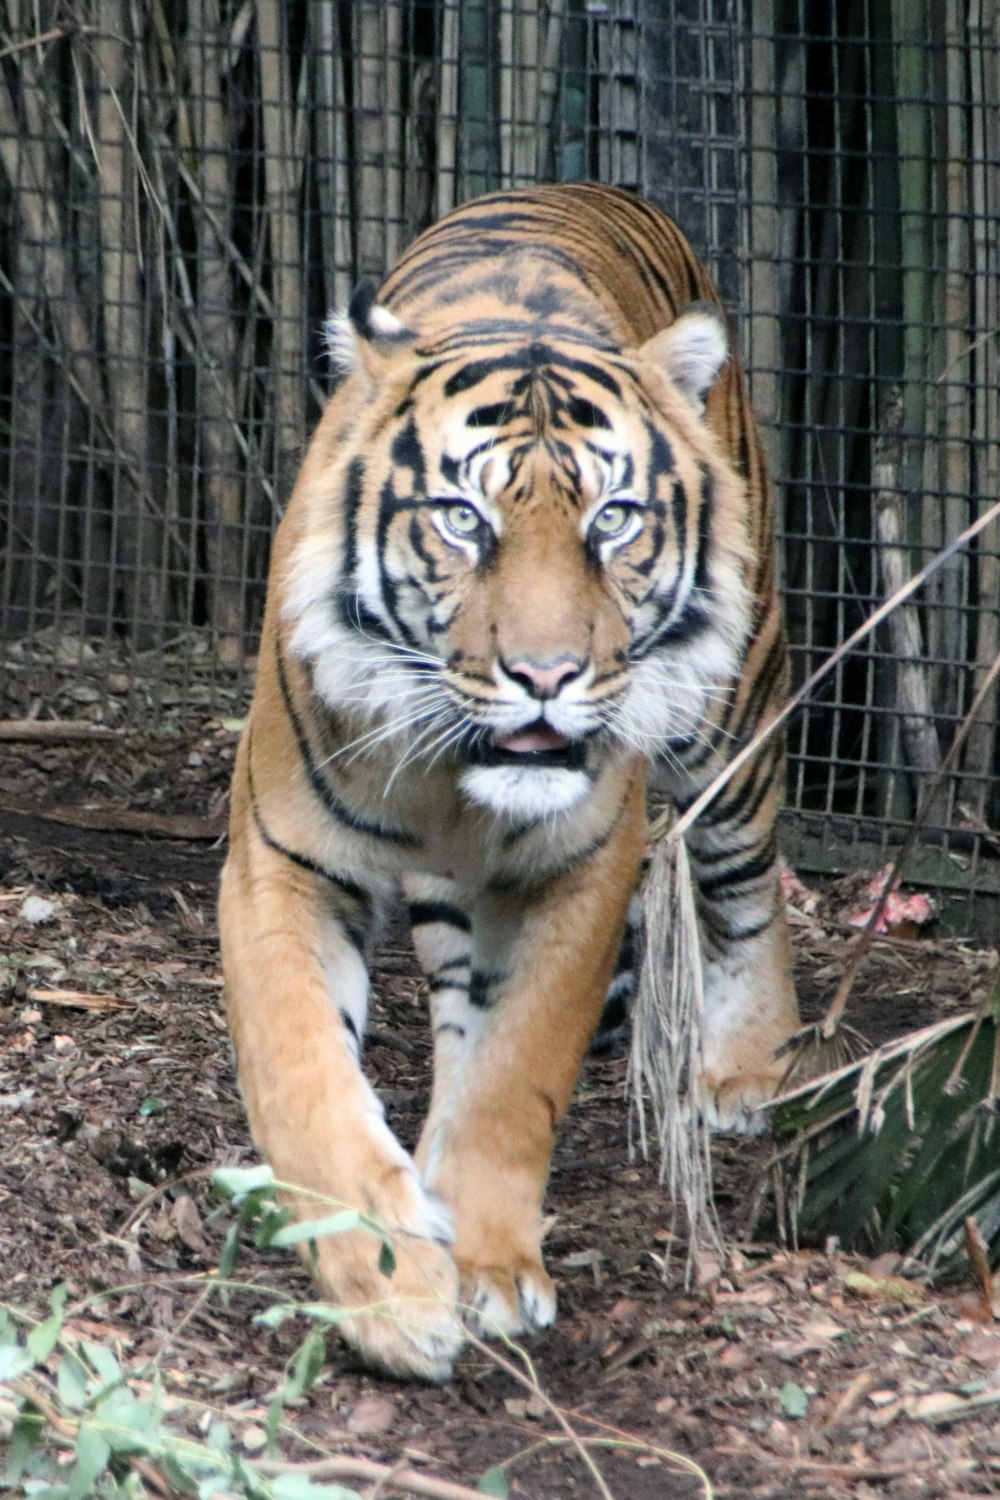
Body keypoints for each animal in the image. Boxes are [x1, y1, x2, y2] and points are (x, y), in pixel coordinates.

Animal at [218, 187, 797, 1380]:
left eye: (611, 521)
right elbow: (305, 1077)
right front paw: (394, 1297)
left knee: (749, 879)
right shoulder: (281, 862)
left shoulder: (582, 870)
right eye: (462, 520)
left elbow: (514, 1077)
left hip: (733, 711)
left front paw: (484, 1270)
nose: (545, 676)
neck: (454, 778)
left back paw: (748, 1068)